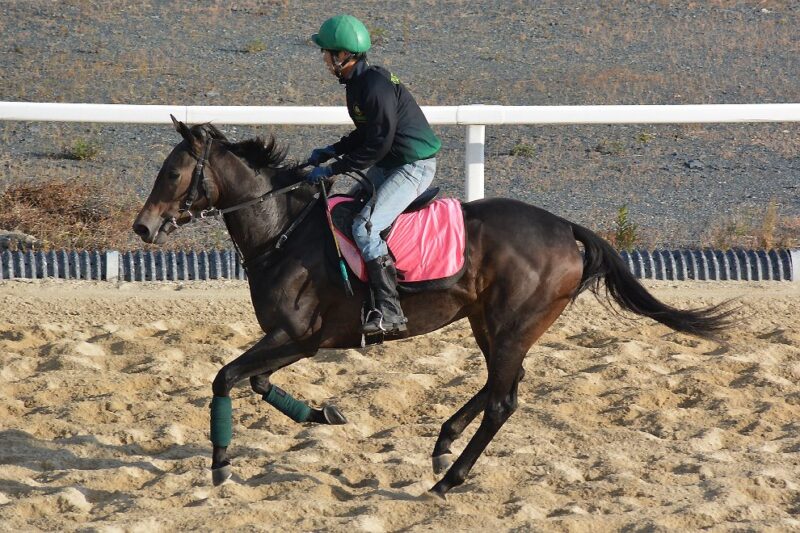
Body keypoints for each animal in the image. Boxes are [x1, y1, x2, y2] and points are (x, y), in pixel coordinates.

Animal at [132, 118, 734, 498]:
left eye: (171, 174)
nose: (142, 227)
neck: (284, 230)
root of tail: (567, 229)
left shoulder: (299, 336)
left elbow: (226, 377)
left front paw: (220, 467)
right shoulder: (295, 340)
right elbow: (255, 381)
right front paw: (323, 414)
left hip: (509, 325)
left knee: (503, 400)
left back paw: (448, 479)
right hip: (491, 323)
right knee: (501, 385)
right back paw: (444, 443)